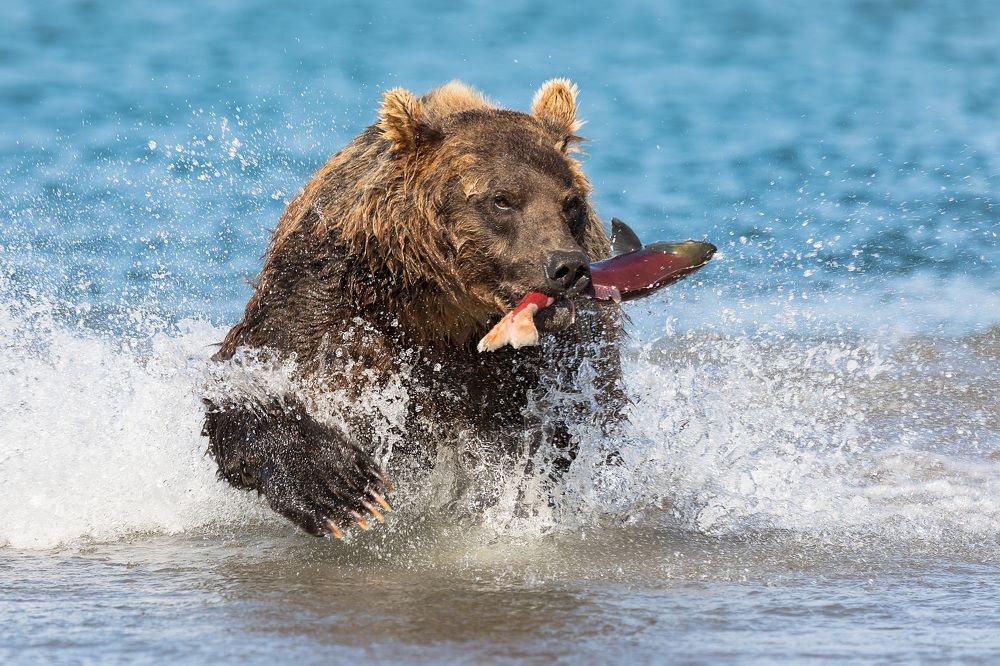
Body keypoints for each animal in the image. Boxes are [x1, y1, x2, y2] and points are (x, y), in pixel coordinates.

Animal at [202, 79, 625, 537]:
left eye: (571, 202)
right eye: (502, 199)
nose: (567, 267)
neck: (443, 296)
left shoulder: (553, 355)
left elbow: (550, 425)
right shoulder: (327, 287)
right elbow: (252, 380)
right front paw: (345, 489)